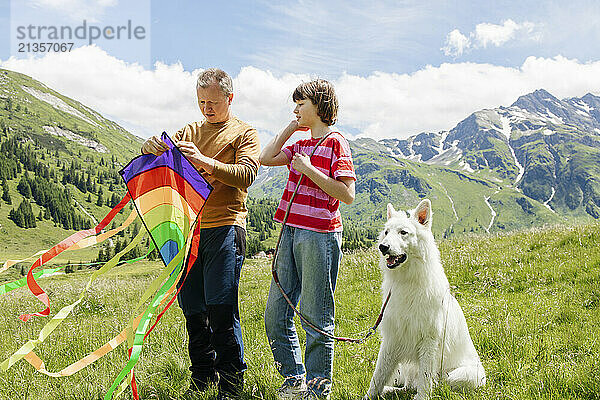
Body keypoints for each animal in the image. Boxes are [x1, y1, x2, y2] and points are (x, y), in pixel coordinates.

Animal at [364, 200, 486, 400]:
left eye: (403, 232)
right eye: (387, 232)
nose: (382, 247)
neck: (408, 282)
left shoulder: (429, 341)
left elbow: (426, 378)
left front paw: (422, 396)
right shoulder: (392, 339)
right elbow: (378, 376)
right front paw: (370, 396)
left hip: (463, 375)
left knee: (438, 383)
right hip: (406, 369)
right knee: (407, 386)